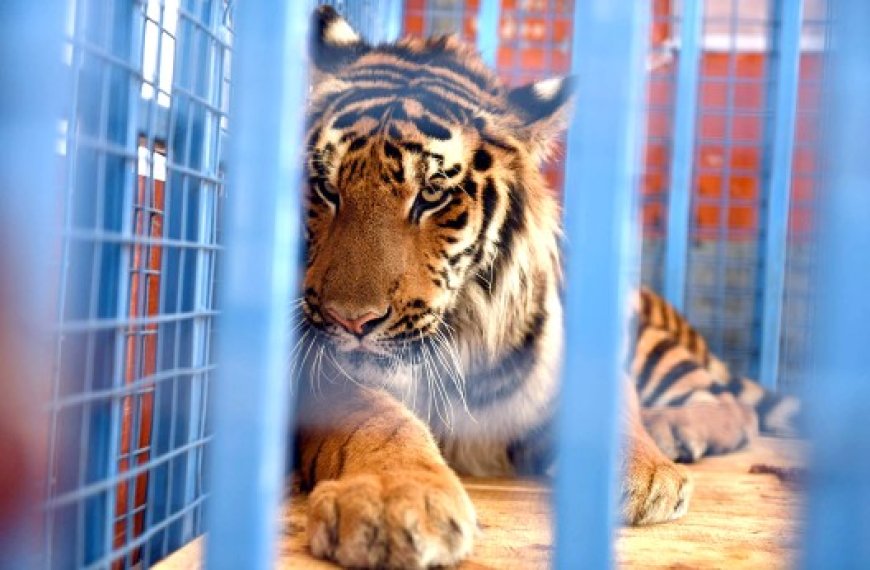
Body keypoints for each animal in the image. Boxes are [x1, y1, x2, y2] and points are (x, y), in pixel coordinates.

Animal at [294, 6, 804, 564]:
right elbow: (376, 416)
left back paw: (673, 428)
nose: (351, 320)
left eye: (431, 195)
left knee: (728, 403)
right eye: (326, 188)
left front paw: (642, 476)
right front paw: (394, 501)